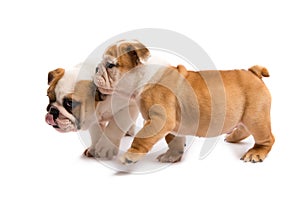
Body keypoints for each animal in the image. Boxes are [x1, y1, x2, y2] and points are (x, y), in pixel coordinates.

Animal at [94, 39, 274, 163]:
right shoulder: (173, 124)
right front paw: (172, 156)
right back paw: (233, 138)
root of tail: (253, 72)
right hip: (246, 116)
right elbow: (174, 141)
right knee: (244, 129)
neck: (143, 76)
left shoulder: (159, 120)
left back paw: (255, 153)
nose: (96, 68)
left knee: (267, 138)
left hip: (255, 116)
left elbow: (141, 137)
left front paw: (130, 156)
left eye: (110, 65)